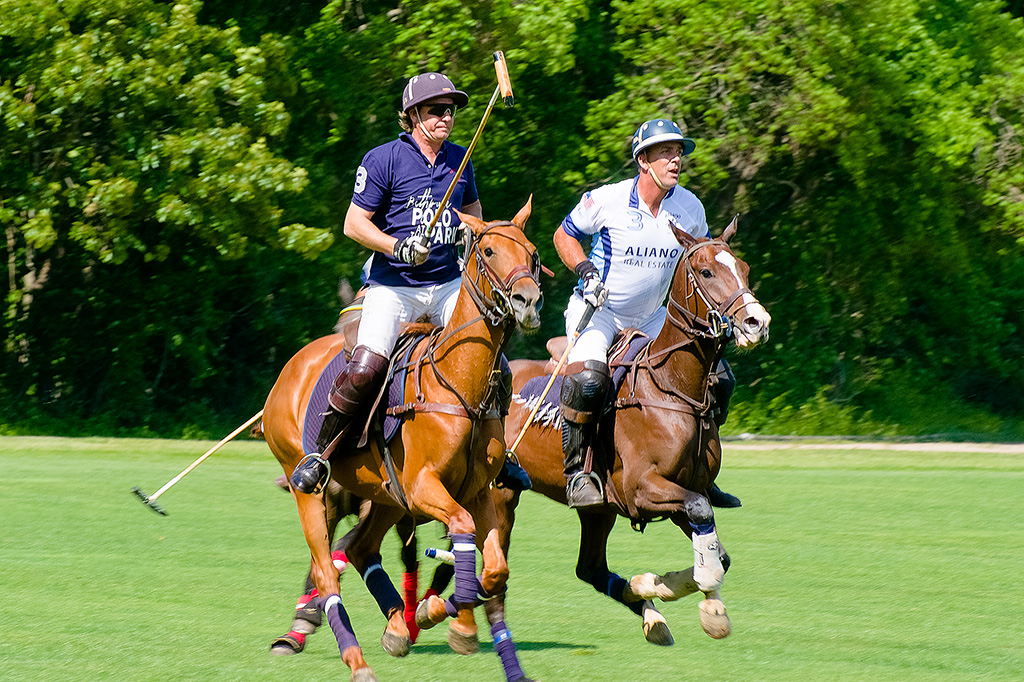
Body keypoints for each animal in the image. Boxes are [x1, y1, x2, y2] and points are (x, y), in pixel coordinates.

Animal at [261, 198, 543, 682]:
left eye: (533, 252)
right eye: (488, 250)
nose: (527, 301)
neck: (461, 386)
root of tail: (295, 363)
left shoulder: (478, 493)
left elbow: (495, 570)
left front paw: (434, 614)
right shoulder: (423, 486)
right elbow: (463, 535)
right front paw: (435, 613)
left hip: (385, 495)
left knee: (359, 548)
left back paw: (397, 626)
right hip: (314, 490)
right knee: (326, 571)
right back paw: (356, 660)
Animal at [418, 217, 770, 648]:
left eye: (745, 269)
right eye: (706, 272)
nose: (757, 322)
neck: (673, 388)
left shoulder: (684, 491)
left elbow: (718, 550)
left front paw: (670, 589)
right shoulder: (644, 489)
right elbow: (705, 530)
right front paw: (703, 603)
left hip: (596, 509)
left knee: (587, 568)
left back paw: (650, 613)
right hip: (499, 495)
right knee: (490, 563)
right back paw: (445, 616)